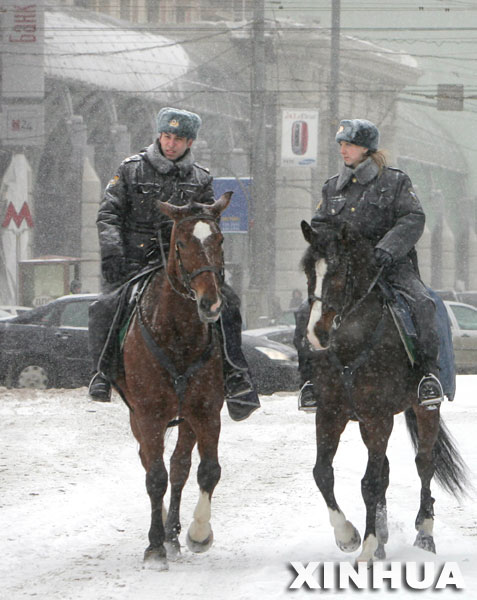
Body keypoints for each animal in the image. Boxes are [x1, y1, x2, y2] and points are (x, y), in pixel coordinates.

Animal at [118, 195, 231, 568]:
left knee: (179, 466)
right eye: (181, 243)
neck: (178, 334)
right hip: (139, 417)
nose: (210, 303)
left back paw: (172, 534)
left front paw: (198, 533)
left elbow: (207, 470)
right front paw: (154, 547)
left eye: (219, 240)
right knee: (149, 463)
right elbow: (155, 478)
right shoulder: (149, 414)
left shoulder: (206, 411)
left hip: (186, 419)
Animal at [302, 219, 468, 564]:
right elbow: (323, 472)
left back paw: (425, 534)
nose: (315, 333)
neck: (351, 342)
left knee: (424, 463)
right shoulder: (330, 414)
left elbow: (371, 482)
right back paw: (382, 539)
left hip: (424, 410)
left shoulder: (379, 418)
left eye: (338, 271)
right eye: (310, 271)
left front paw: (365, 547)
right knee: (389, 469)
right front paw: (349, 536)